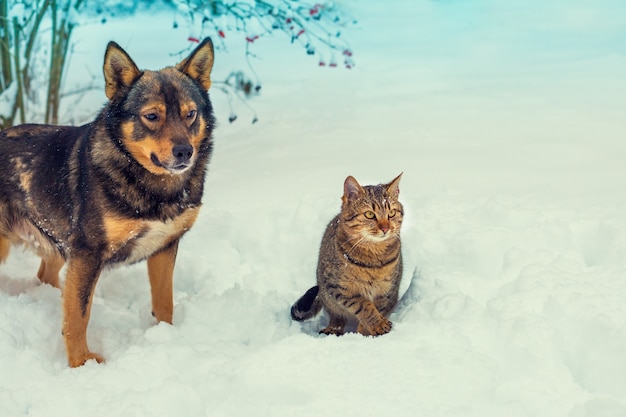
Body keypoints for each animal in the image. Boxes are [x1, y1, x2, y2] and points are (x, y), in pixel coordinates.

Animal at [0, 37, 214, 366]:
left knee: (46, 276)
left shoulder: (164, 246)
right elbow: (78, 317)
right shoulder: (87, 254)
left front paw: (166, 338)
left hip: (58, 240)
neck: (150, 184)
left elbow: (164, 302)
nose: (184, 152)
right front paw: (81, 364)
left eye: (190, 114)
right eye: (152, 116)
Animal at [290, 172, 402, 334]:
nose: (386, 228)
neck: (374, 258)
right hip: (327, 296)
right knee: (336, 316)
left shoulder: (387, 290)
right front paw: (376, 324)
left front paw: (366, 330)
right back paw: (333, 329)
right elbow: (364, 306)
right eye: (369, 214)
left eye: (392, 213)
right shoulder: (338, 288)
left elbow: (378, 308)